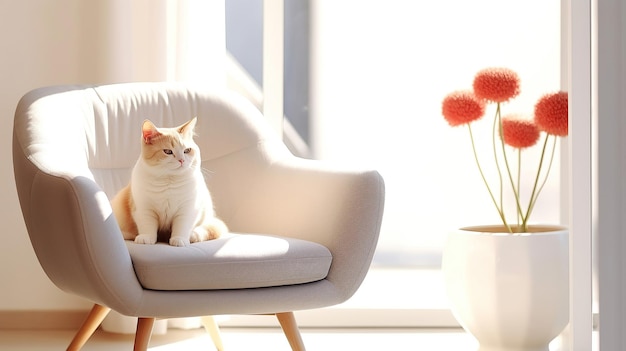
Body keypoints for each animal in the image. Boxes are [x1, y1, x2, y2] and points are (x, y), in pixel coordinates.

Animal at [111, 117, 228, 246]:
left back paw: (193, 236)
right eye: (168, 151)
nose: (181, 160)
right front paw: (146, 238)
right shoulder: (144, 208)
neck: (169, 182)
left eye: (187, 150)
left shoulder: (188, 209)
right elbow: (147, 225)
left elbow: (182, 226)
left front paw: (179, 240)